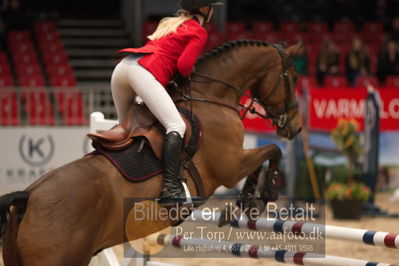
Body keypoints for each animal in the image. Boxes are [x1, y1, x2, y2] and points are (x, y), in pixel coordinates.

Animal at [0, 40, 304, 266]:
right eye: (294, 77)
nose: (296, 126)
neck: (213, 98)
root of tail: (28, 197)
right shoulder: (230, 166)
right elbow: (272, 151)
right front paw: (261, 195)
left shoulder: (234, 163)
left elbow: (267, 154)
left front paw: (246, 202)